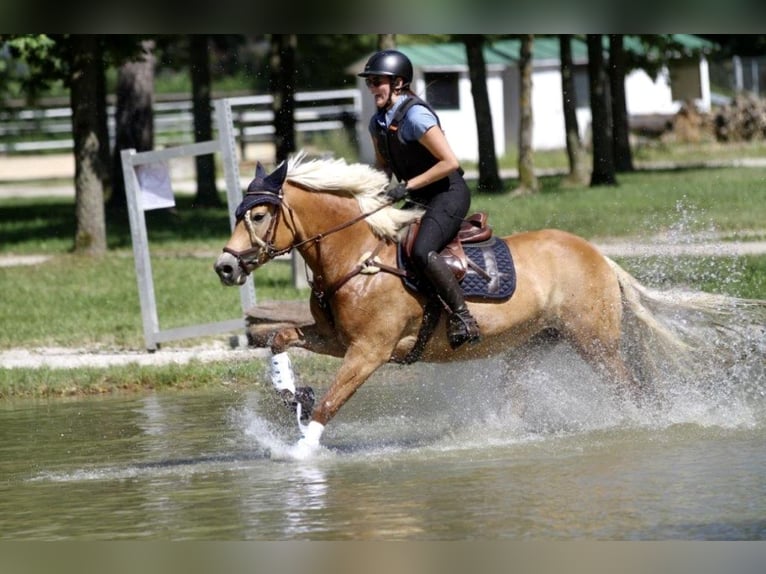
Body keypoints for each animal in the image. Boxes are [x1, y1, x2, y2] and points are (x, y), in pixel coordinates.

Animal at [216, 153, 672, 460]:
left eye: (258, 215)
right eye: (238, 214)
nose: (225, 266)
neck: (356, 257)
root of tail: (600, 256)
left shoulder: (369, 350)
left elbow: (331, 402)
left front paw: (302, 450)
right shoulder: (336, 339)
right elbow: (280, 337)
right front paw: (293, 395)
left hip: (595, 342)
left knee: (630, 388)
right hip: (534, 342)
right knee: (517, 394)